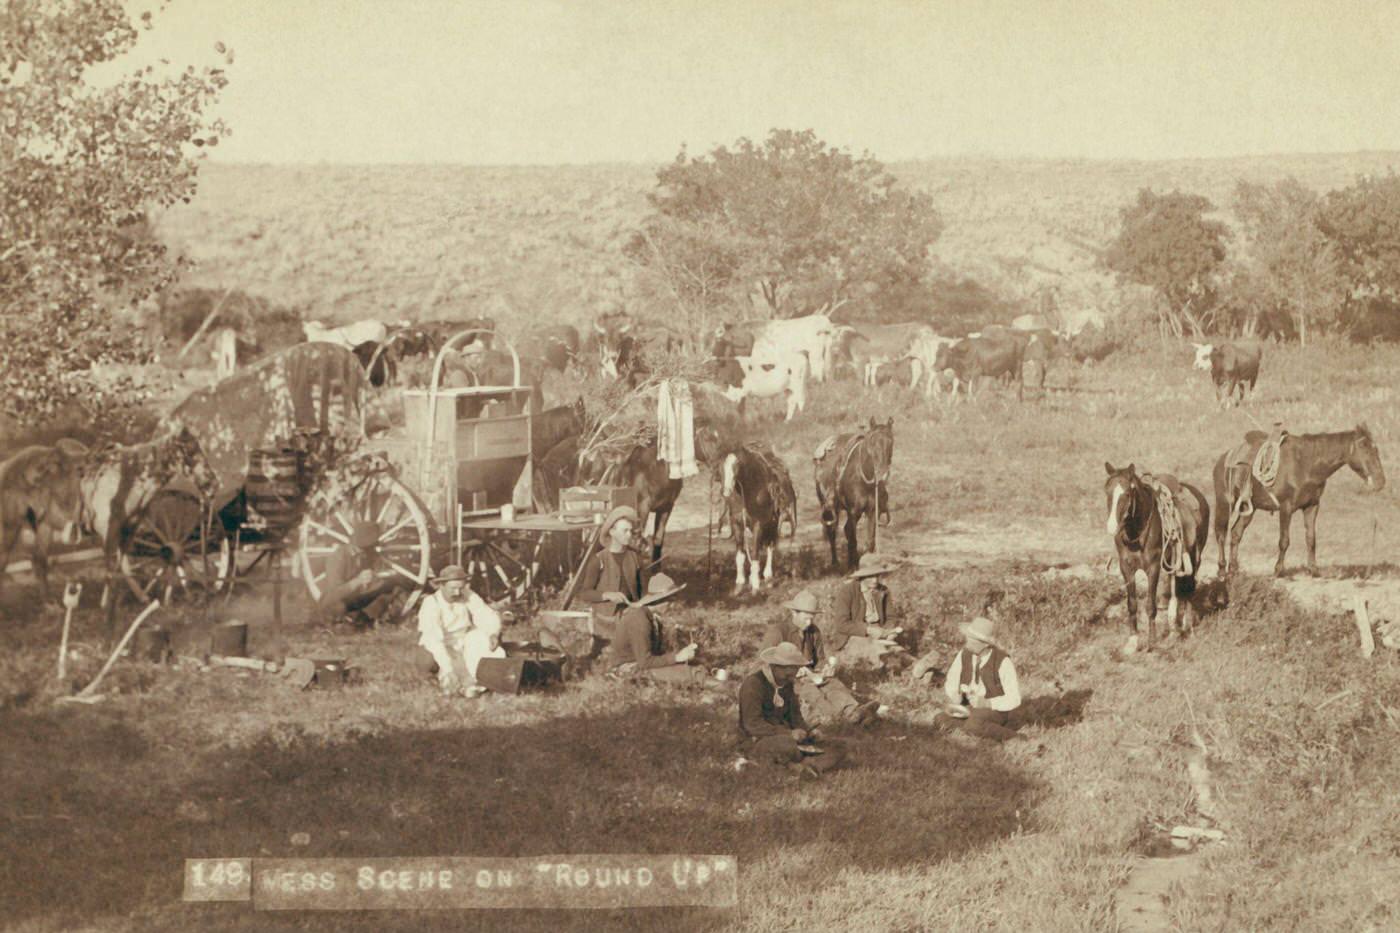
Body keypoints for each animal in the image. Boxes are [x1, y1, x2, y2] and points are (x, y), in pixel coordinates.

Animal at [722, 442, 800, 588]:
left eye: (737, 465)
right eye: (723, 465)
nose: (726, 491)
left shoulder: (758, 525)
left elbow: (754, 553)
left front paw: (755, 582)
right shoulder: (737, 524)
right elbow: (740, 555)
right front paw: (740, 580)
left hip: (773, 525)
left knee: (770, 546)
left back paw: (768, 574)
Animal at [812, 414, 896, 565]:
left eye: (890, 442)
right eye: (872, 443)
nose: (882, 474)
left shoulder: (872, 511)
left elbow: (869, 541)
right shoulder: (853, 511)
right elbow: (853, 539)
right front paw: (853, 565)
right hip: (829, 507)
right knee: (832, 531)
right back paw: (835, 562)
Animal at [1103, 462, 1215, 650]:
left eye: (1127, 493)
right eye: (1107, 492)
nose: (1111, 527)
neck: (1137, 532)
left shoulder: (1153, 568)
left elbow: (1150, 605)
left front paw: (1151, 642)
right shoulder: (1126, 568)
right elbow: (1132, 604)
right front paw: (1133, 642)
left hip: (1194, 558)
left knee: (1189, 588)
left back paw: (1187, 627)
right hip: (1173, 561)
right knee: (1175, 589)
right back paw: (1173, 629)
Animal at [1209, 420, 1383, 574]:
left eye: (1376, 450)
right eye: (1364, 448)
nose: (1381, 481)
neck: (1306, 464)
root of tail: (1223, 458)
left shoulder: (1312, 506)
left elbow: (1311, 538)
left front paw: (1313, 569)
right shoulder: (1286, 508)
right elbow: (1284, 541)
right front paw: (1279, 570)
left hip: (1248, 508)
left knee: (1236, 534)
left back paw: (1233, 569)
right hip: (1225, 503)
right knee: (1221, 534)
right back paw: (1222, 570)